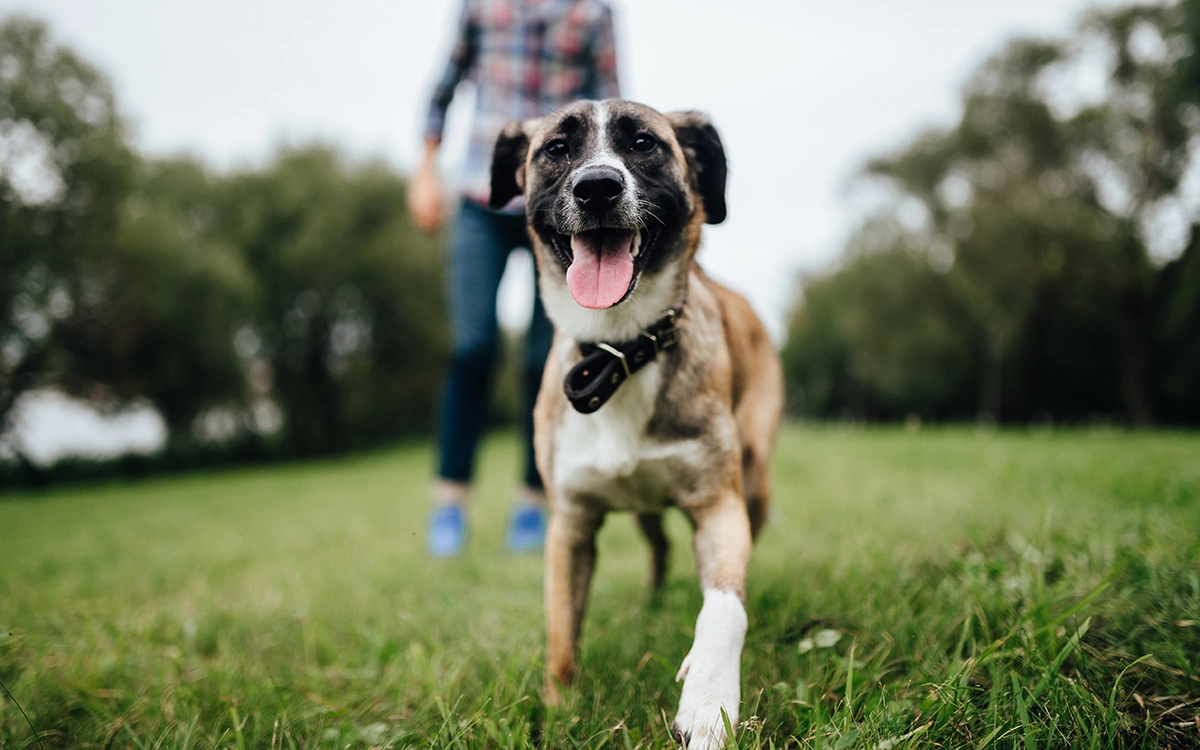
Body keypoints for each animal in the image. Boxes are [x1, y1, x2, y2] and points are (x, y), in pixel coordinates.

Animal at [489, 99, 782, 748]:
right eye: (556, 149)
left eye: (644, 143)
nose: (597, 186)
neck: (620, 350)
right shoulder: (570, 525)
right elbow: (561, 633)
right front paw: (561, 708)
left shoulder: (718, 506)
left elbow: (725, 606)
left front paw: (709, 704)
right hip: (645, 509)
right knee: (659, 545)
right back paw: (652, 602)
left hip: (754, 481)